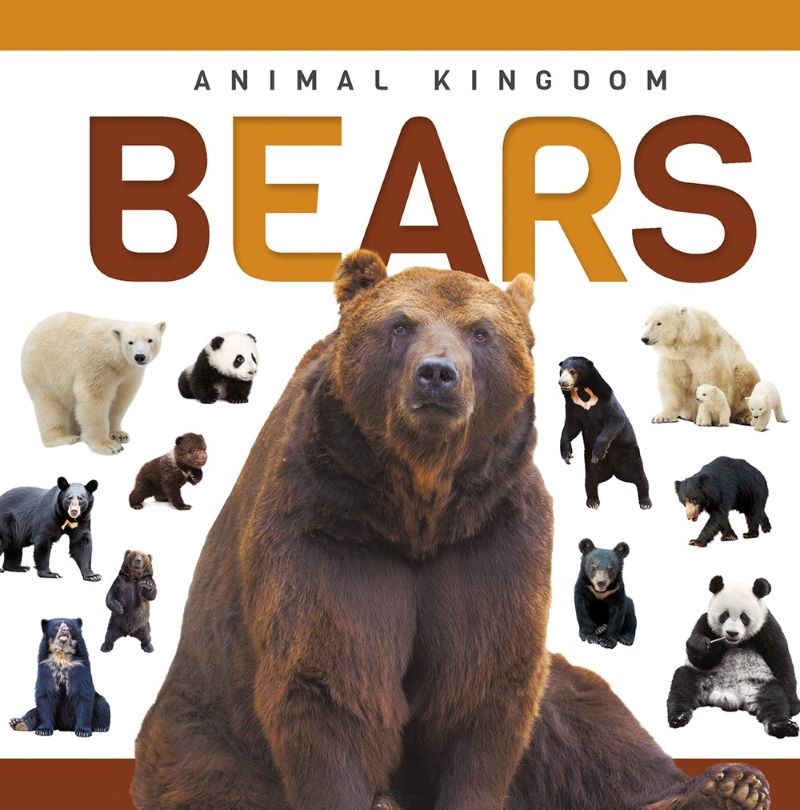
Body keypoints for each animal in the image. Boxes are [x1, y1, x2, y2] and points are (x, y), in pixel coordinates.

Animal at [21, 312, 166, 455]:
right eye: (130, 342)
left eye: (150, 340)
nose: (140, 356)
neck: (116, 358)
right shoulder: (98, 363)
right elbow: (93, 397)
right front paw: (108, 445)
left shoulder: (130, 375)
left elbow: (121, 399)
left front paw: (119, 434)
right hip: (42, 369)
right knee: (49, 404)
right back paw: (65, 437)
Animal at [558, 356, 651, 509]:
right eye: (561, 371)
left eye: (572, 371)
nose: (562, 382)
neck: (582, 391)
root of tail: (614, 471)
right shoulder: (573, 406)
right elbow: (570, 427)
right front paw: (567, 456)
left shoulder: (605, 399)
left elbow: (615, 420)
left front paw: (597, 454)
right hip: (589, 464)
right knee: (591, 480)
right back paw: (593, 502)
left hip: (631, 453)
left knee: (640, 476)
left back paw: (645, 502)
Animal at [668, 576, 799, 739]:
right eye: (724, 615)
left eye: (744, 617)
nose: (732, 633)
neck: (735, 643)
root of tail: (728, 697)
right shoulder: (706, 623)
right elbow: (704, 661)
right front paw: (699, 645)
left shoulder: (767, 627)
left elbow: (780, 658)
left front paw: (794, 706)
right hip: (702, 677)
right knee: (682, 684)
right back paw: (678, 717)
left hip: (760, 684)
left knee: (774, 699)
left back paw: (782, 726)